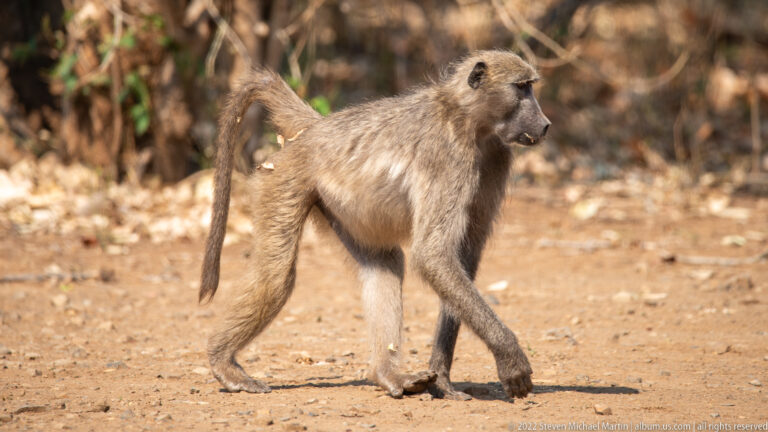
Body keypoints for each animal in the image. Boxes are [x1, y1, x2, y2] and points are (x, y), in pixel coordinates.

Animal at [200, 50, 551, 400]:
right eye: (522, 88)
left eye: (531, 86)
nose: (545, 125)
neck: (467, 118)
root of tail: (315, 128)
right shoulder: (447, 156)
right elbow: (433, 256)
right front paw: (511, 359)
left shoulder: (497, 156)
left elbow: (461, 258)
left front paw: (442, 380)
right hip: (282, 179)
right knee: (276, 278)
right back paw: (223, 362)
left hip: (344, 209)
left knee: (385, 264)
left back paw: (388, 375)